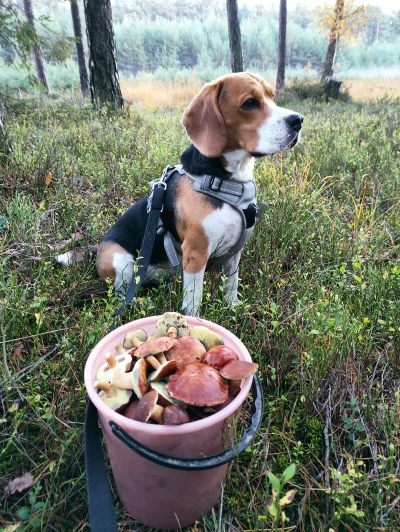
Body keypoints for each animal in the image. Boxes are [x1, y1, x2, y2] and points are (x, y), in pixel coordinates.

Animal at [95, 72, 302, 314]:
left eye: (272, 96)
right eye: (250, 103)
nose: (298, 120)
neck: (224, 182)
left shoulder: (235, 253)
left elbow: (231, 283)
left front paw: (232, 308)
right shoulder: (196, 253)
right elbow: (194, 298)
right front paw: (195, 319)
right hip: (120, 261)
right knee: (121, 293)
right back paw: (141, 303)